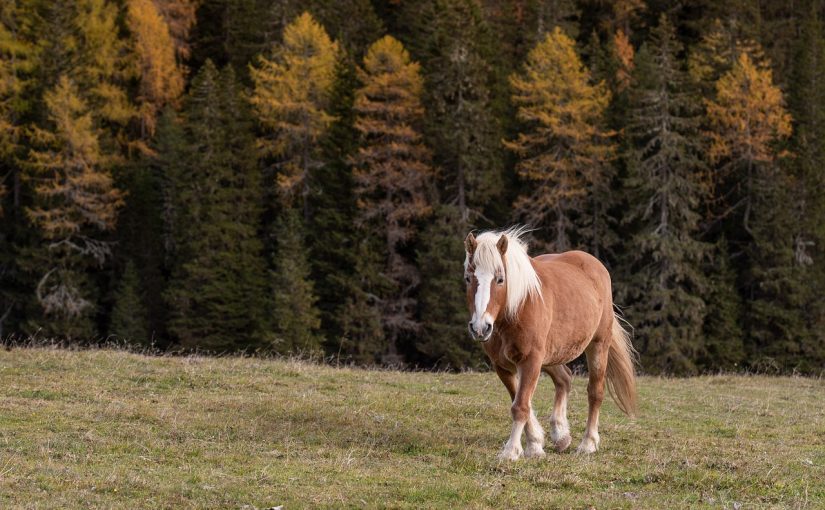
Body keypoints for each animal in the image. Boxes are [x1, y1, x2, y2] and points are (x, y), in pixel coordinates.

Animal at [464, 227, 636, 458]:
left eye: (500, 279)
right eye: (468, 278)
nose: (480, 327)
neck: (518, 307)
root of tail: (594, 264)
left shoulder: (531, 360)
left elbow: (520, 406)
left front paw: (511, 451)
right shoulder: (503, 366)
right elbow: (521, 402)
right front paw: (535, 444)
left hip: (598, 345)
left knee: (595, 392)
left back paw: (588, 443)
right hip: (551, 355)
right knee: (564, 379)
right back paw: (561, 435)